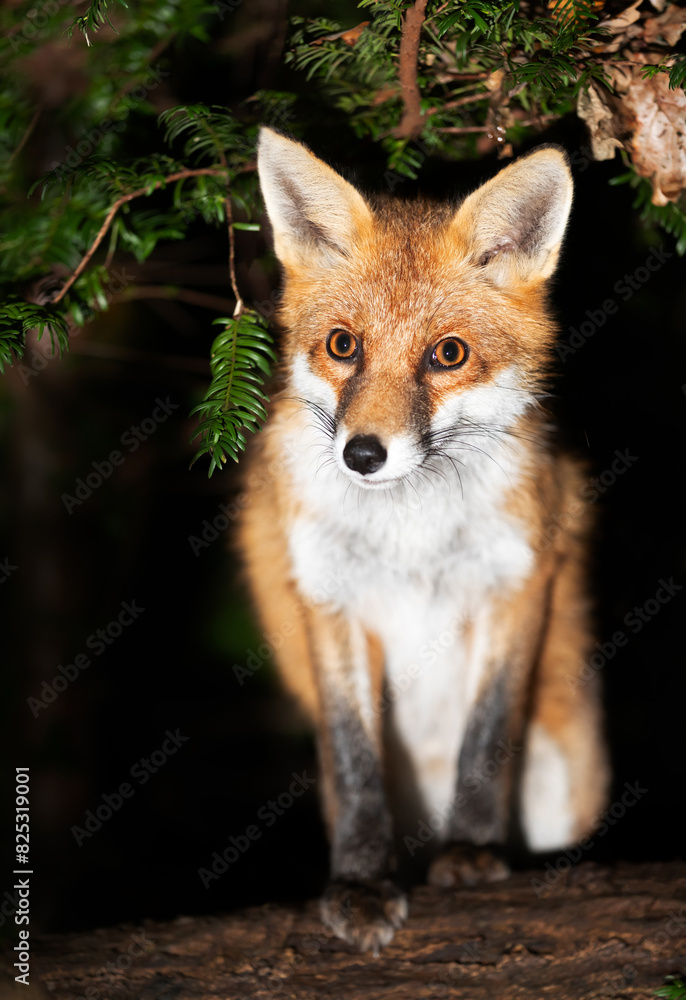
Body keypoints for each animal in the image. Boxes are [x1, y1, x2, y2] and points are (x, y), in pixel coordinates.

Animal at [239, 131, 612, 952]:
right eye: (342, 345)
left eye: (449, 354)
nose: (363, 455)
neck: (409, 536)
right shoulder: (328, 599)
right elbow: (354, 762)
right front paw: (360, 884)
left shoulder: (515, 582)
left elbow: (487, 735)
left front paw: (471, 853)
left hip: (565, 767)